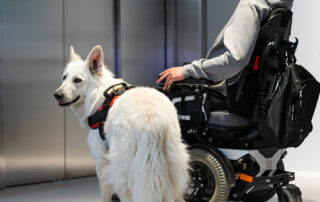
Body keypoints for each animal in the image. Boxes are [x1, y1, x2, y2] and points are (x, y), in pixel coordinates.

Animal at [54, 45, 190, 202]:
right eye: (64, 77)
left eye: (77, 80)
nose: (56, 95)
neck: (98, 95)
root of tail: (152, 121)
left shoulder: (102, 162)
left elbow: (105, 195)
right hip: (172, 173)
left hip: (122, 174)